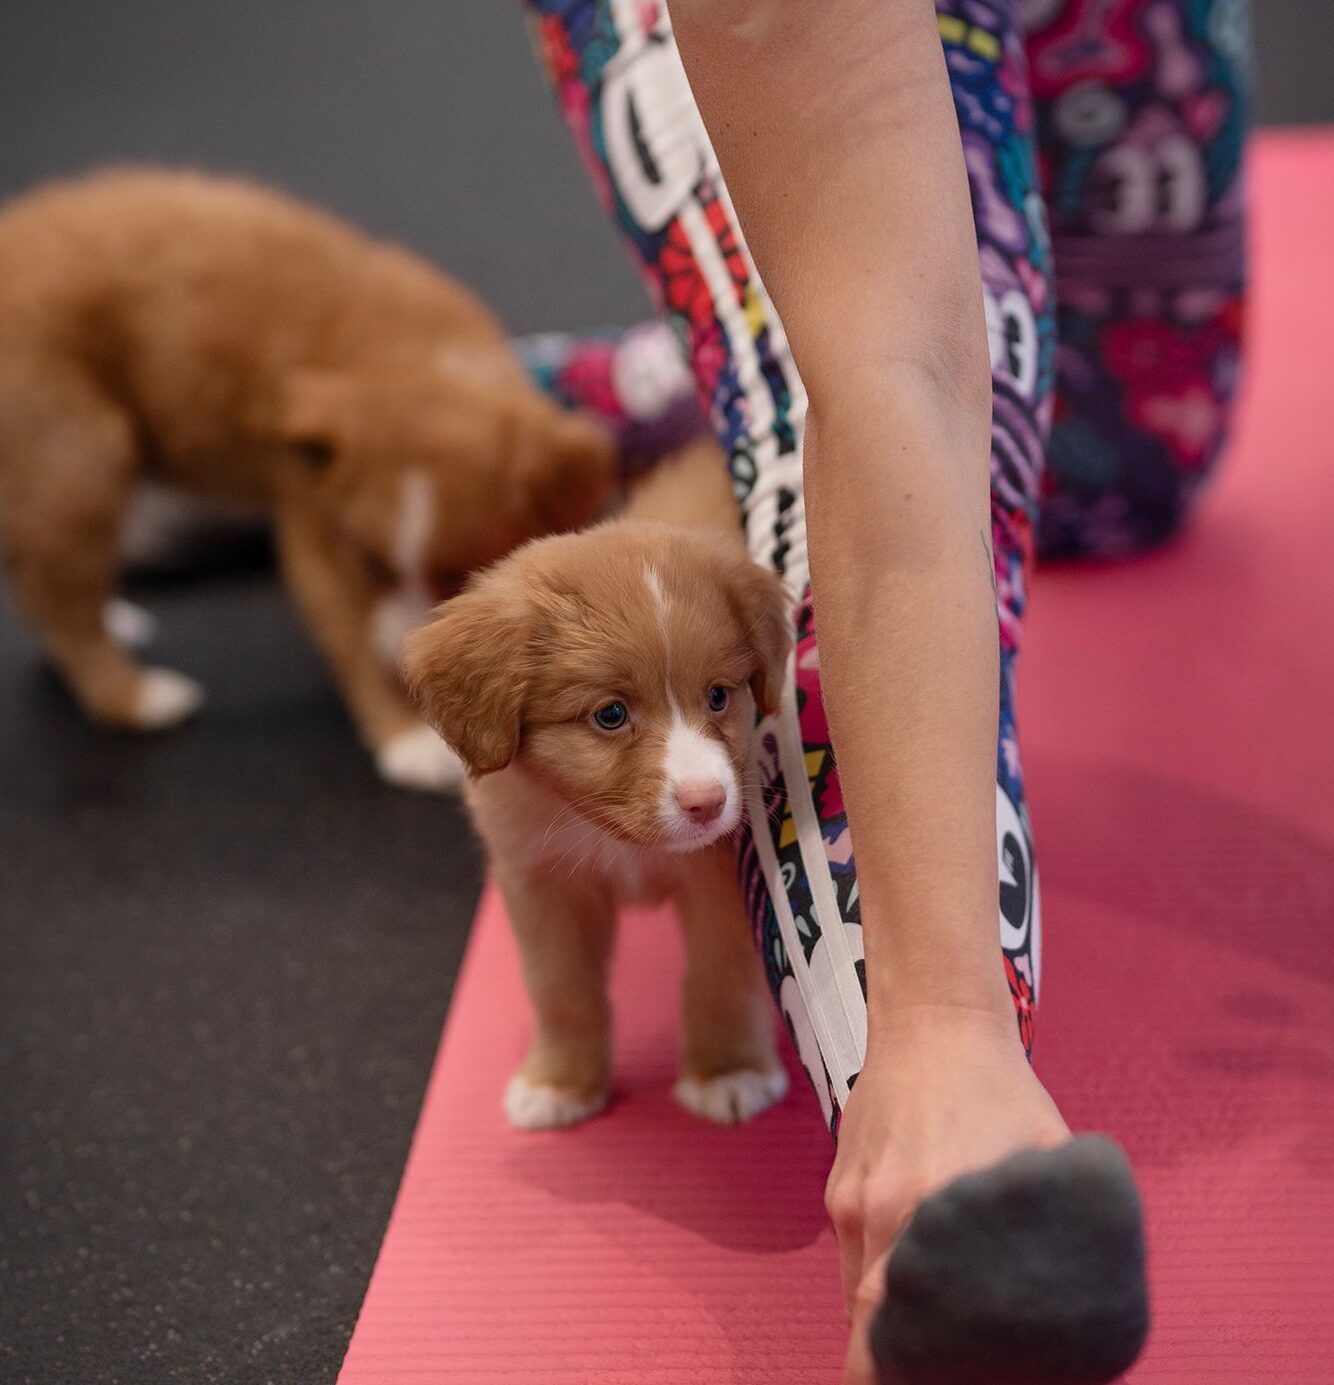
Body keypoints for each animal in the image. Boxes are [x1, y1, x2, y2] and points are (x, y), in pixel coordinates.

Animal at [0, 166, 612, 792]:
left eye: (460, 577)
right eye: (369, 564)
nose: (407, 660)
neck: (419, 352)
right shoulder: (318, 543)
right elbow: (355, 641)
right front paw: (408, 735)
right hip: (76, 464)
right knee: (62, 597)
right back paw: (134, 697)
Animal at [401, 448, 786, 1130]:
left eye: (719, 695)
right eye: (610, 714)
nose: (708, 802)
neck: (610, 833)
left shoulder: (718, 878)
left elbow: (721, 977)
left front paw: (728, 1070)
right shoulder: (540, 886)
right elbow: (562, 990)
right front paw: (560, 1082)